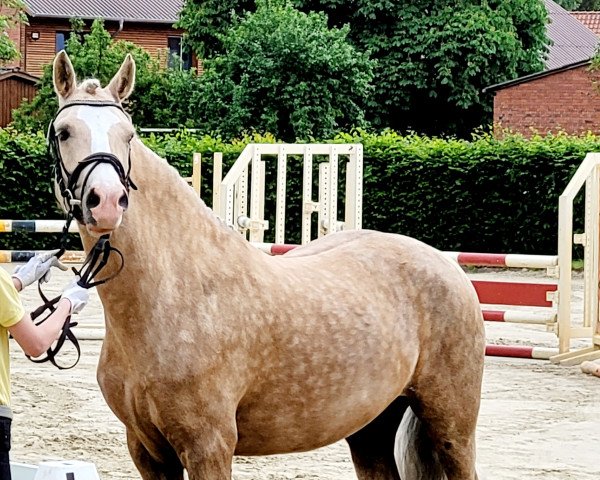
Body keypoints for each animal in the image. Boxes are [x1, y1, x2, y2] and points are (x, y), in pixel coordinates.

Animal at [49, 50, 486, 478]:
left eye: (129, 135)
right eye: (64, 132)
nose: (107, 200)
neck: (171, 296)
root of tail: (447, 266)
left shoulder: (209, 447)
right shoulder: (147, 451)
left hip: (452, 427)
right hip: (370, 428)